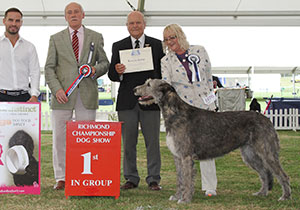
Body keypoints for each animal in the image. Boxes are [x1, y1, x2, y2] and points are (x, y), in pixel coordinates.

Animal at [134, 79, 290, 203]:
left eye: (148, 84)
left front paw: (185, 199)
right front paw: (178, 196)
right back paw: (262, 192)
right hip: (250, 154)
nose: (134, 89)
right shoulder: (177, 157)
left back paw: (285, 197)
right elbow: (180, 179)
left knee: (281, 174)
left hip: (267, 152)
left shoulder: (186, 156)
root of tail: (267, 120)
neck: (175, 113)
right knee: (264, 173)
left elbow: (187, 178)